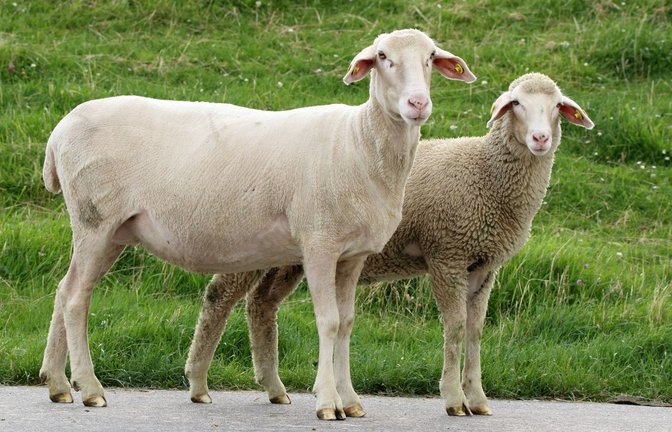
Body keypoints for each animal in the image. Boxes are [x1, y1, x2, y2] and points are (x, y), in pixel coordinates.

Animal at [38, 28, 477, 421]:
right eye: (383, 57)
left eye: (431, 56)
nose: (418, 103)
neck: (360, 143)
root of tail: (59, 131)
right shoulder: (319, 243)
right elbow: (329, 321)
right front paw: (327, 402)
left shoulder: (353, 256)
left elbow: (348, 324)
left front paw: (351, 400)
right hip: (95, 219)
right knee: (76, 298)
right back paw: (90, 389)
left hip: (111, 230)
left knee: (64, 289)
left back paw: (59, 386)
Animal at [186, 72, 594, 417]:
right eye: (517, 103)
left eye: (557, 106)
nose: (540, 139)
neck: (485, 171)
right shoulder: (447, 254)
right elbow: (456, 327)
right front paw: (453, 399)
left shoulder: (483, 265)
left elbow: (476, 330)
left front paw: (477, 399)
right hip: (248, 242)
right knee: (220, 297)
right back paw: (198, 382)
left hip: (288, 257)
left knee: (261, 304)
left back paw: (274, 387)